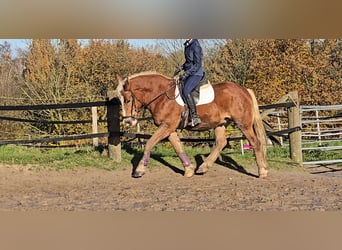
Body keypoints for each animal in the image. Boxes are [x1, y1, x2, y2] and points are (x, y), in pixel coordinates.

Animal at [116, 71, 268, 179]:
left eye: (128, 100)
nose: (128, 122)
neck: (162, 96)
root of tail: (245, 90)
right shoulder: (169, 128)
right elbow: (177, 147)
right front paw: (188, 169)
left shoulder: (167, 126)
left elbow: (149, 143)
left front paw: (139, 169)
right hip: (220, 123)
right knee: (221, 142)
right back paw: (203, 167)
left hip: (243, 124)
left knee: (255, 142)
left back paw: (262, 171)